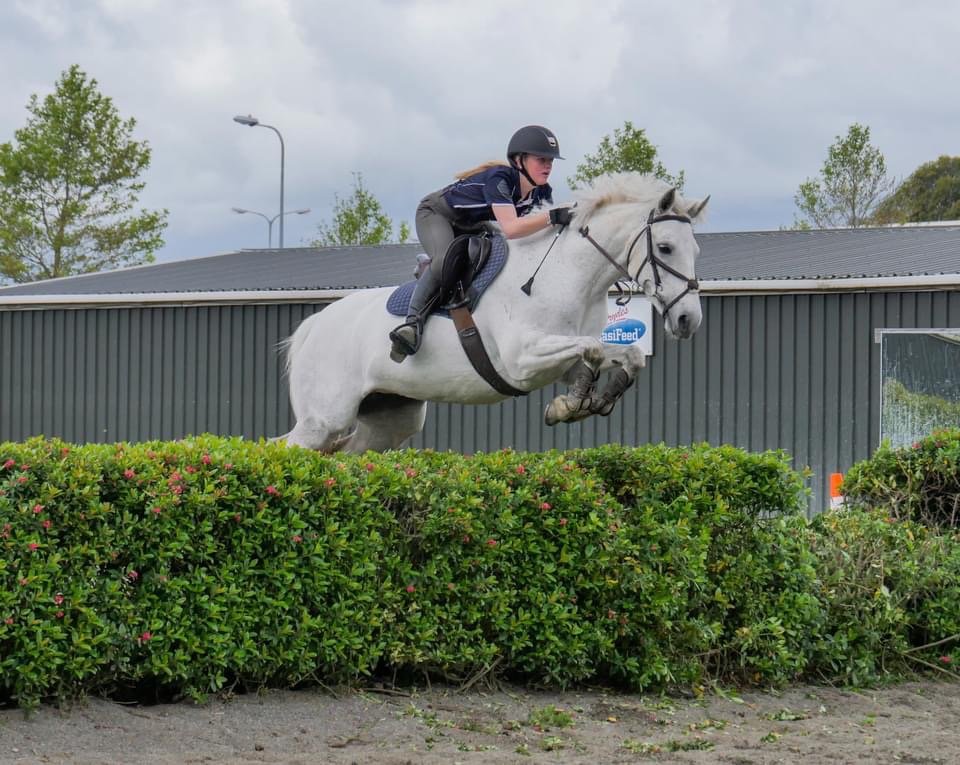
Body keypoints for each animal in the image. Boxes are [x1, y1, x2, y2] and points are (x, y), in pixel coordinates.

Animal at [279, 173, 708, 453]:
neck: (568, 274)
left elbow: (625, 353)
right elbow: (593, 348)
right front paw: (573, 403)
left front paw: (582, 401)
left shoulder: (561, 354)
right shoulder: (522, 360)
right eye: (666, 248)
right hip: (323, 418)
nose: (689, 320)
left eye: (696, 251)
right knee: (290, 448)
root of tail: (312, 326)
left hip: (389, 420)